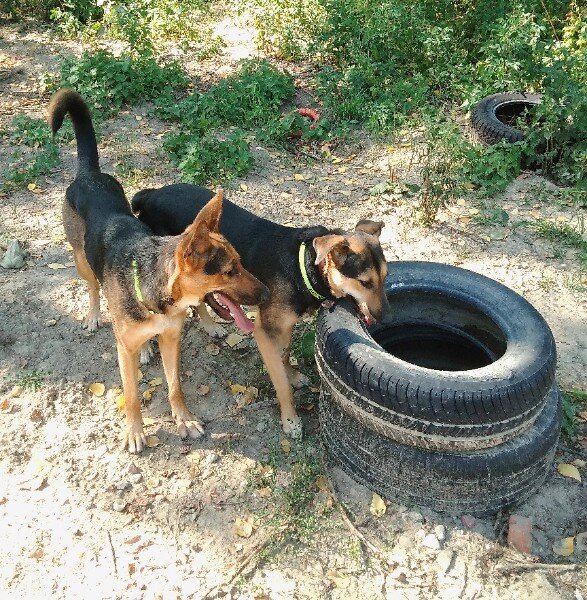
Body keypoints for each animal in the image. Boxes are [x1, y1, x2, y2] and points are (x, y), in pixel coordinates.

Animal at [48, 90, 268, 450]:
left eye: (240, 263)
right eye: (229, 271)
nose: (265, 293)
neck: (157, 294)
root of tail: (88, 175)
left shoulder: (171, 338)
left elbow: (175, 386)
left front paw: (184, 420)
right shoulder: (123, 350)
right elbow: (132, 396)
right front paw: (135, 432)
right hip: (81, 261)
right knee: (93, 287)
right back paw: (94, 315)